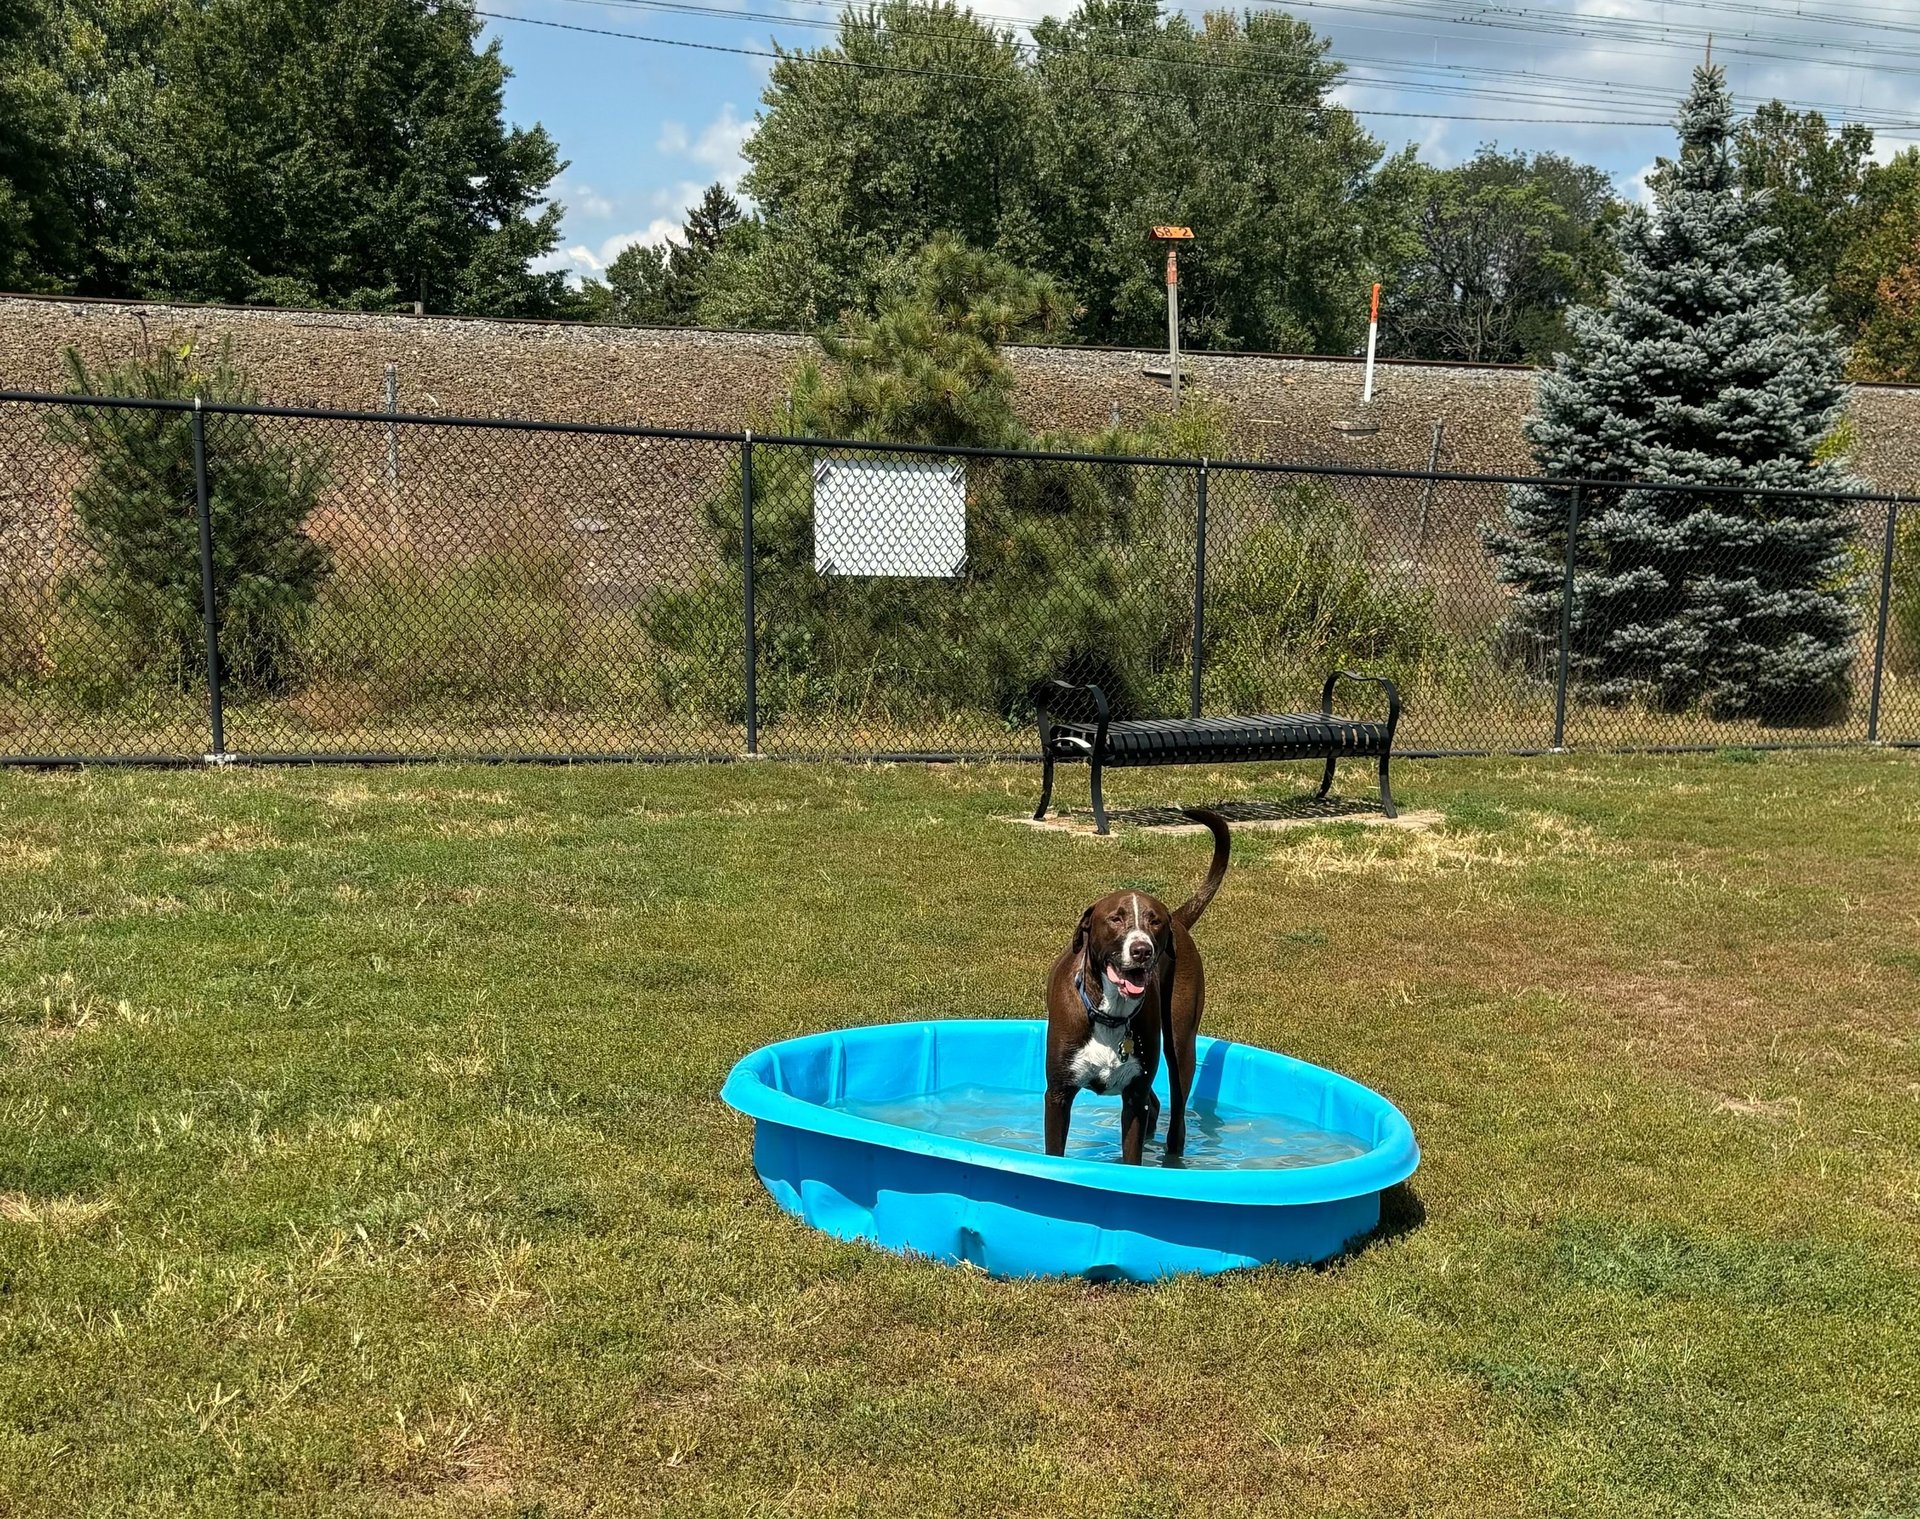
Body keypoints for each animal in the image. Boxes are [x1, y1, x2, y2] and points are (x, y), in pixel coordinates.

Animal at [1052, 814, 1228, 1167]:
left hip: (1179, 1045)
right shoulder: (1058, 1095)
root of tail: (1179, 920)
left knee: (1176, 1122)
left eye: (1154, 921)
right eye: (1116, 919)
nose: (1142, 950)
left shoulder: (1134, 1099)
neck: (1109, 1013)